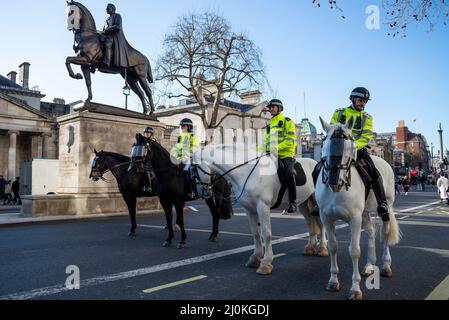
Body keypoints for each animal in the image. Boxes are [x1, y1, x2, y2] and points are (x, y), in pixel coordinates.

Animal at [192, 144, 326, 276]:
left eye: (193, 168)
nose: (201, 192)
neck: (246, 172)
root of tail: (315, 162)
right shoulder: (249, 209)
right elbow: (255, 233)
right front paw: (255, 258)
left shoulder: (263, 206)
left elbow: (266, 234)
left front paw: (266, 263)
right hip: (303, 203)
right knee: (310, 223)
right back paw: (310, 247)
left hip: (317, 203)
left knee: (321, 225)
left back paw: (323, 249)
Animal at [314, 117, 400, 300]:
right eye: (325, 143)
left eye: (350, 144)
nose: (335, 181)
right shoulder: (327, 218)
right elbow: (333, 247)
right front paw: (333, 281)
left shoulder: (354, 218)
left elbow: (354, 250)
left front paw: (355, 288)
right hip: (365, 212)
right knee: (371, 231)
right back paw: (369, 265)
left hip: (386, 207)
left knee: (385, 233)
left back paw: (386, 266)